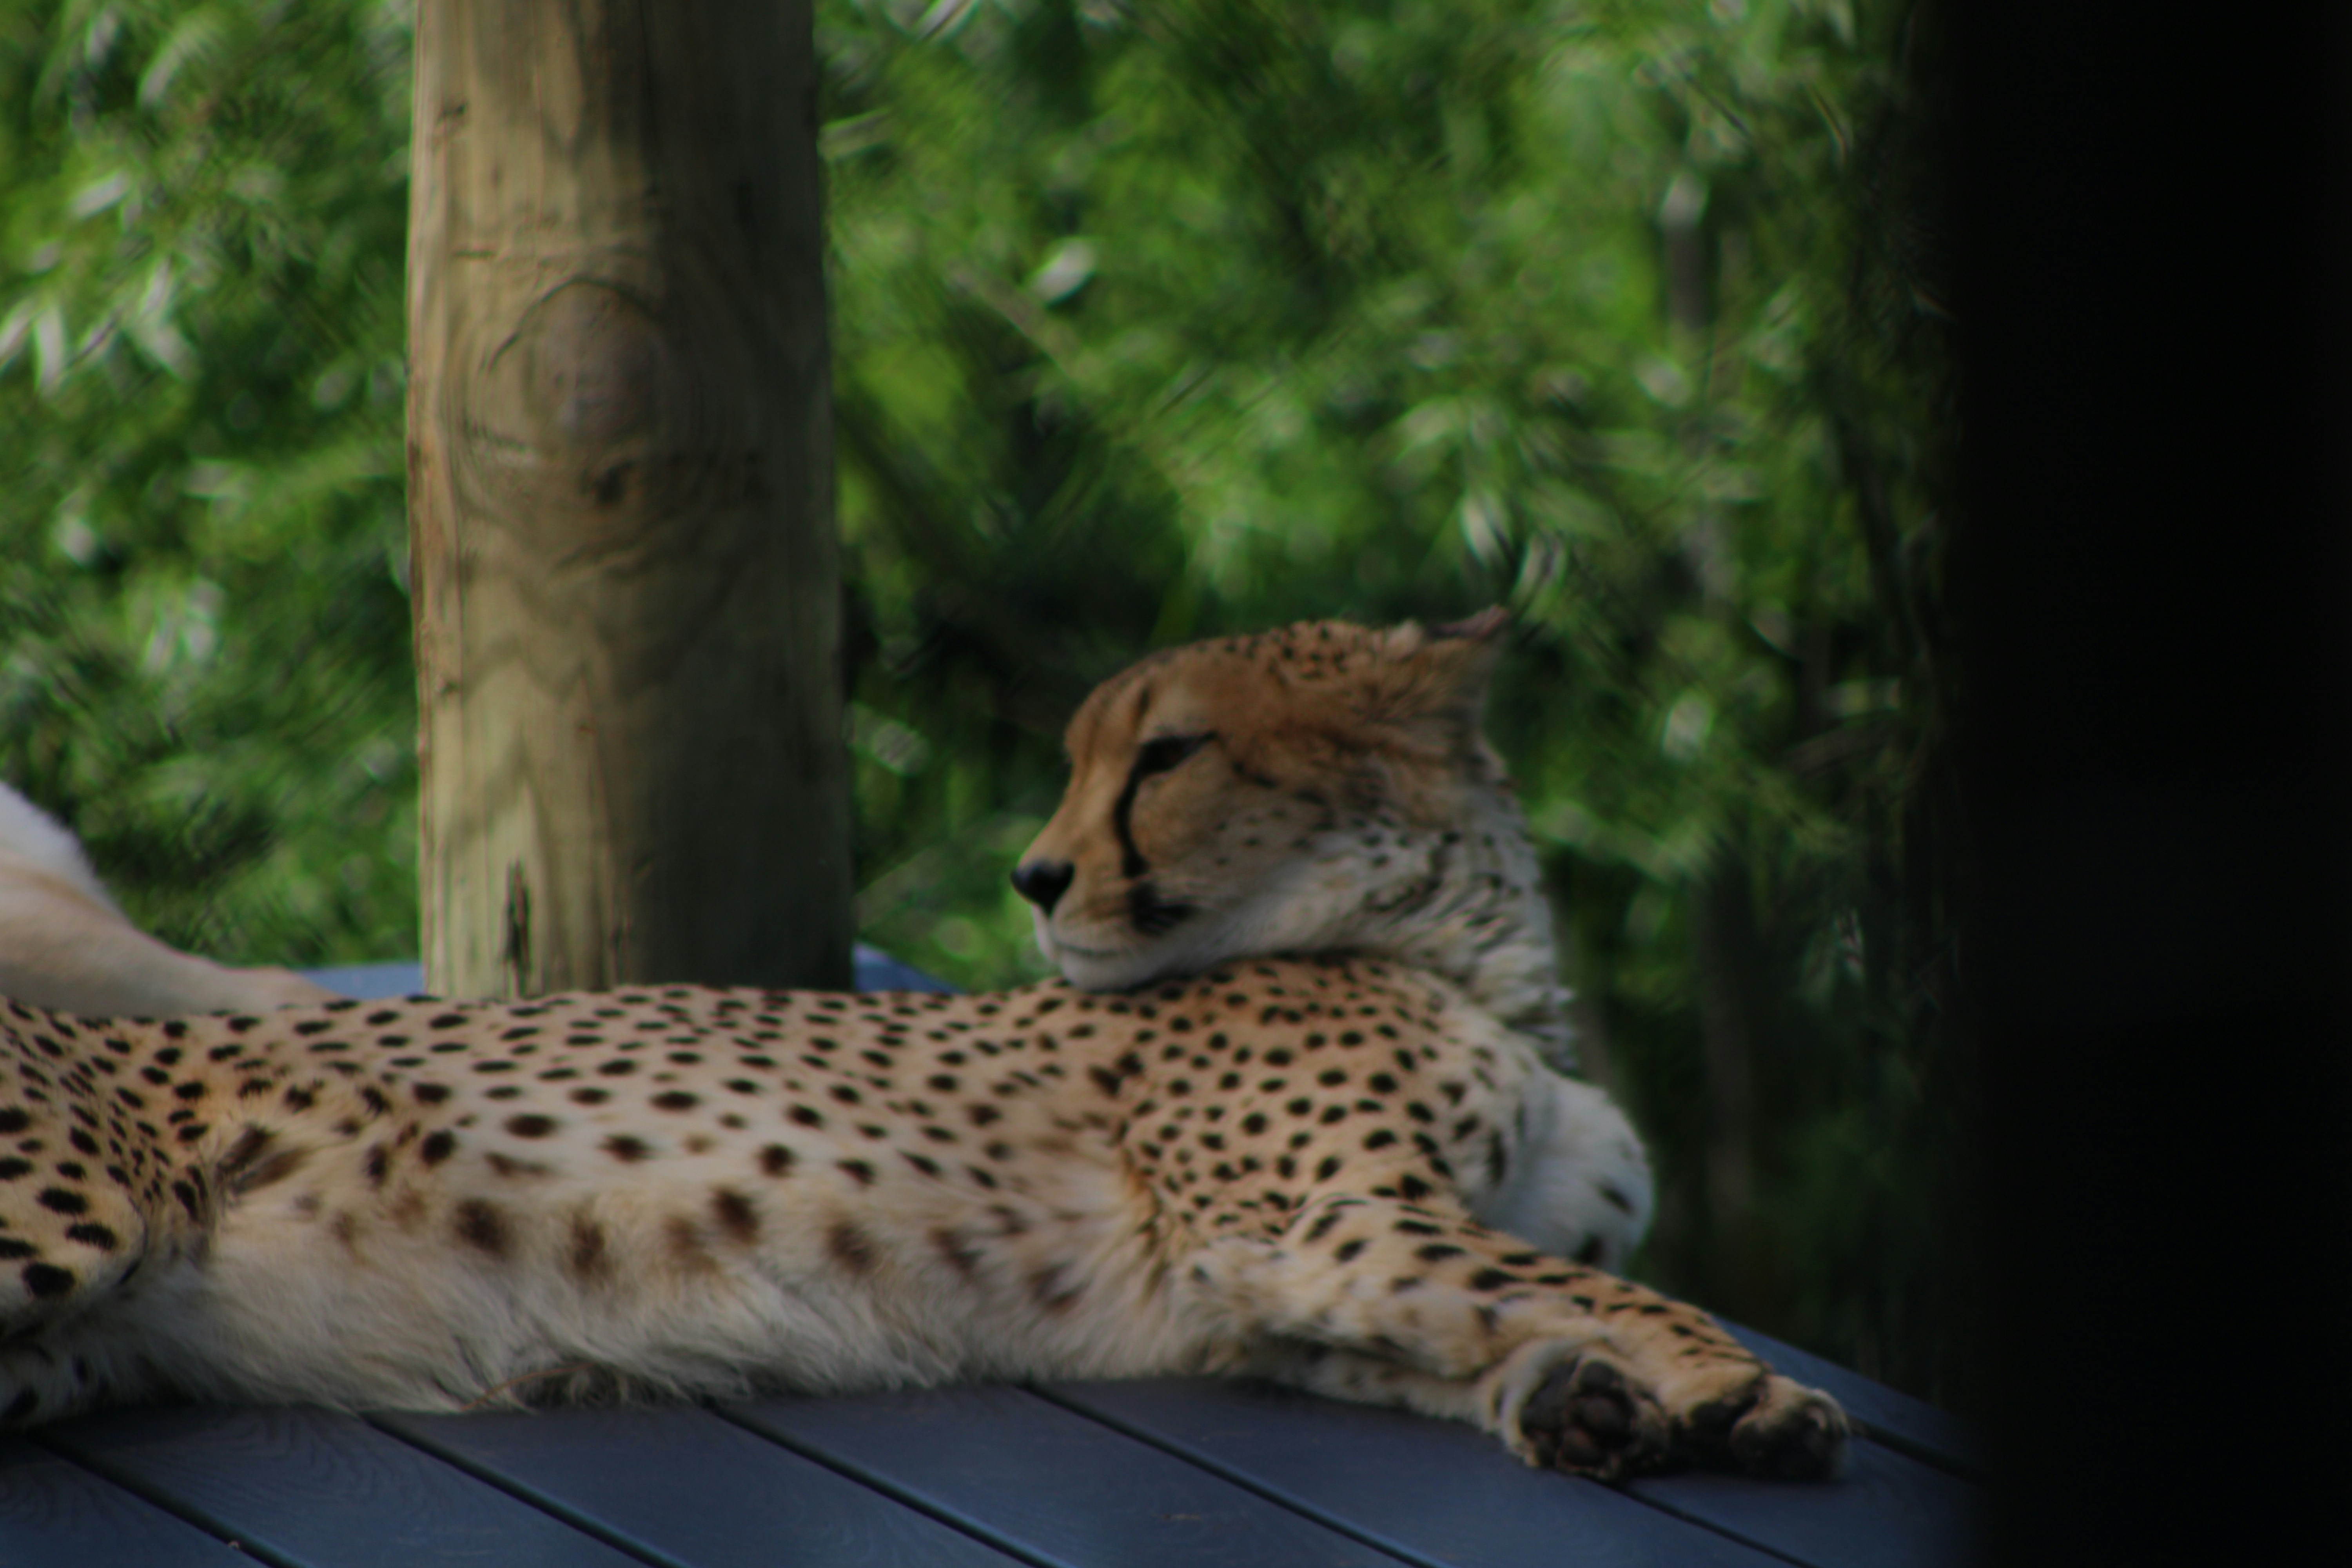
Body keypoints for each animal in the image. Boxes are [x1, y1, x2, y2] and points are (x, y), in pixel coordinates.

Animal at [0, 612, 1847, 1482]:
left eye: (1165, 752)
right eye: (1088, 755)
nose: (1034, 875)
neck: (1443, 945)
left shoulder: (1277, 1281)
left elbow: (1476, 1324)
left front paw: (1581, 1399)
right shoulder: (1307, 1223)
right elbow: (1581, 1277)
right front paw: (1739, 1383)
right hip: (73, 1213)